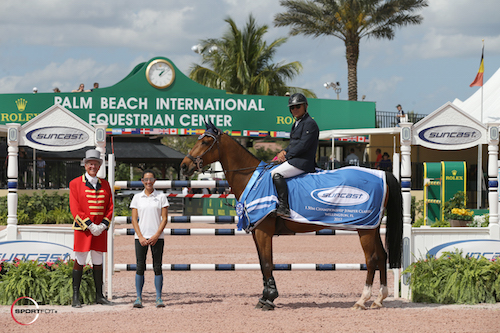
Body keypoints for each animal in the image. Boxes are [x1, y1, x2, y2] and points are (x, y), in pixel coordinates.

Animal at [180, 121, 402, 308]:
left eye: (206, 141)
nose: (184, 166)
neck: (253, 178)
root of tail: (382, 173)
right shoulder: (257, 232)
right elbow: (263, 263)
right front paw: (265, 296)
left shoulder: (264, 231)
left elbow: (267, 262)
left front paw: (269, 299)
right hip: (372, 228)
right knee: (382, 256)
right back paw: (379, 299)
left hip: (364, 229)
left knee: (371, 259)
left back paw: (362, 300)